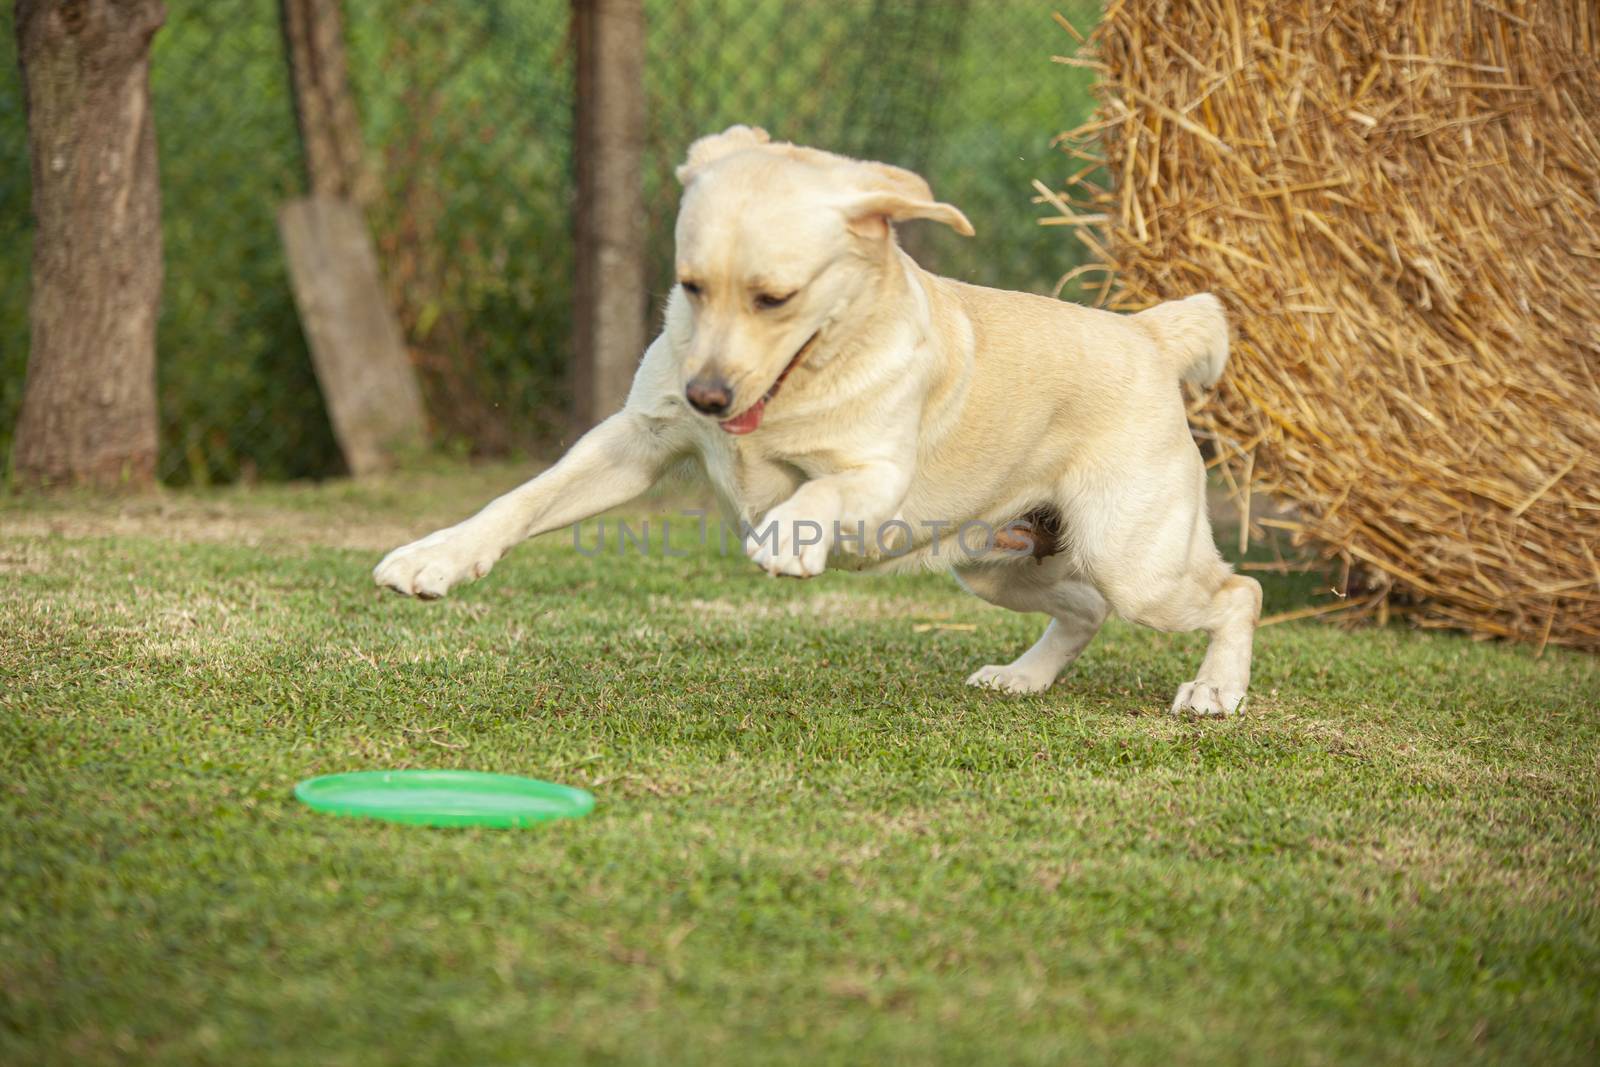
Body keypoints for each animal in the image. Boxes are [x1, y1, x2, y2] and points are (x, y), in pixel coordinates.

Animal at [374, 127, 1260, 716]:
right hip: (996, 563)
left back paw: (1214, 689)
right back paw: (1022, 676)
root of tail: (1148, 331)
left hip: (1135, 561)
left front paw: (783, 542)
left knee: (1236, 592)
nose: (706, 396)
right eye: (691, 285)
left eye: (776, 297)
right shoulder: (636, 439)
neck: (798, 382)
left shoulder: (876, 477)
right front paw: (432, 558)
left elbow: (817, 492)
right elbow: (518, 500)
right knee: (1083, 609)